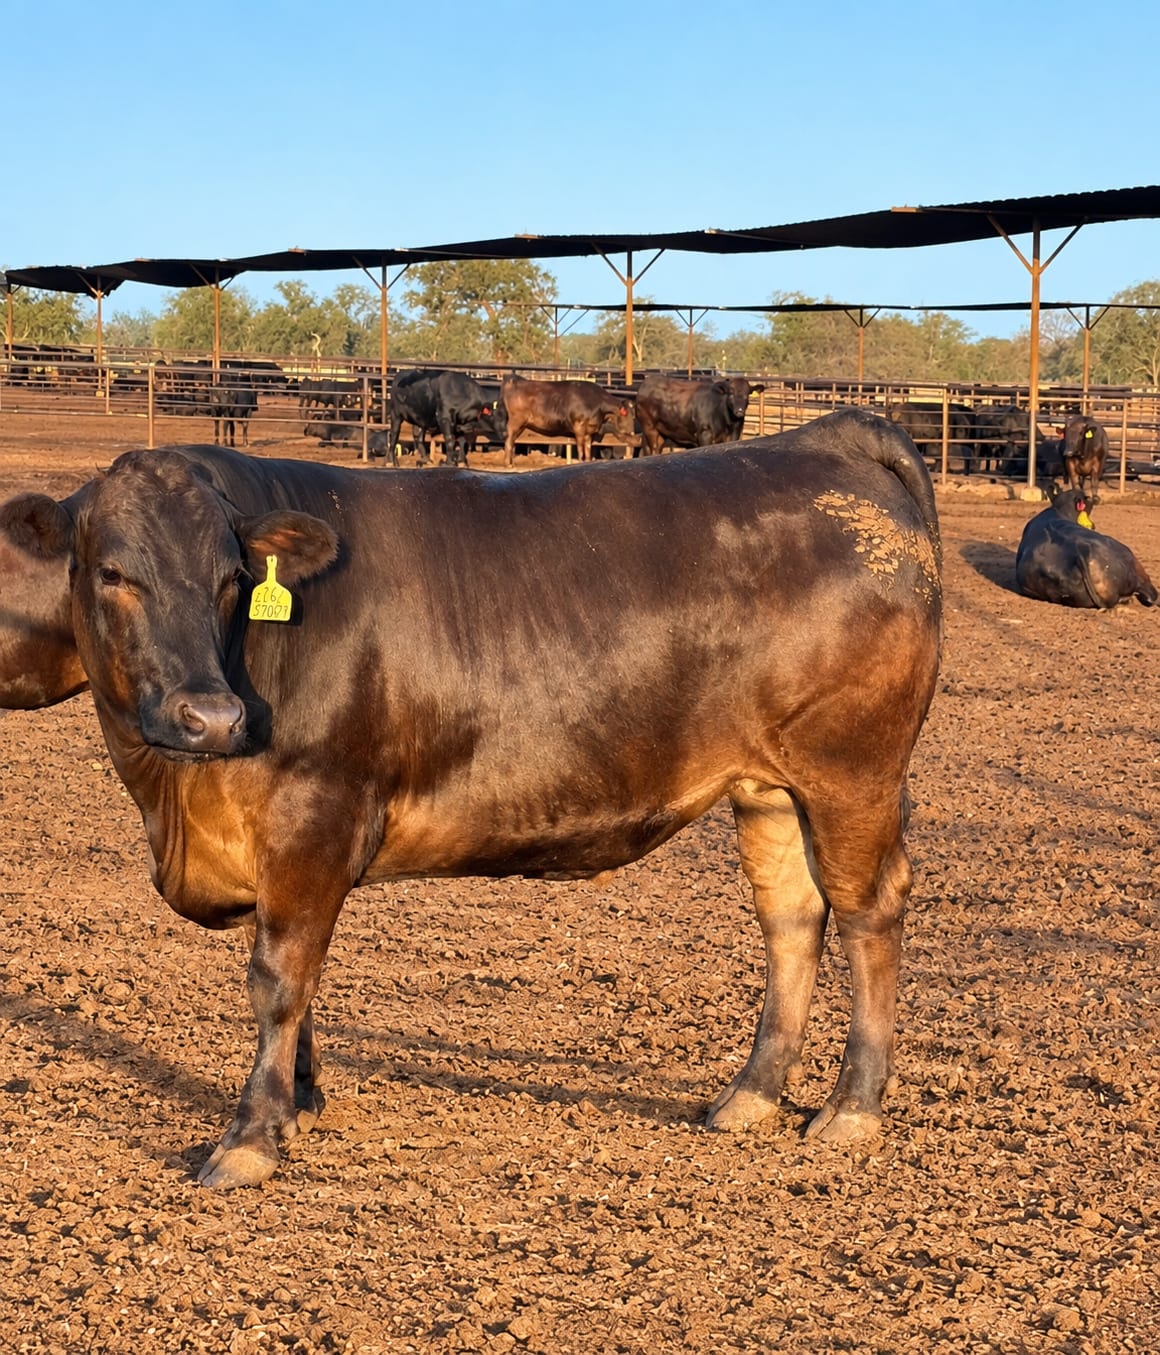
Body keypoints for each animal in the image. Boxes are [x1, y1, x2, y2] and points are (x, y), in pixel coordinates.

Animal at [0, 410, 942, 1191]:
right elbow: (301, 978)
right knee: (792, 916)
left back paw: (852, 1105)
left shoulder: (315, 811)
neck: (177, 800)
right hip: (769, 786)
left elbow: (278, 976)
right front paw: (302, 1096)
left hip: (851, 773)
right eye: (112, 573)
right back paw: (751, 1092)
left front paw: (251, 1137)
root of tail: (826, 438)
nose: (210, 714)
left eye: (233, 577)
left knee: (869, 912)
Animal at [500, 376, 636, 465]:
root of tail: (515, 381)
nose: (632, 432)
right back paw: (508, 463)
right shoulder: (579, 428)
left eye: (634, 416)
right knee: (509, 439)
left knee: (512, 440)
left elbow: (588, 449)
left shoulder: (589, 431)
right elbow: (581, 449)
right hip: (515, 421)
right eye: (628, 416)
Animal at [635, 376, 764, 456]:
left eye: (748, 394)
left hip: (661, 433)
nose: (739, 411)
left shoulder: (734, 435)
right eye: (731, 393)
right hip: (650, 428)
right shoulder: (704, 435)